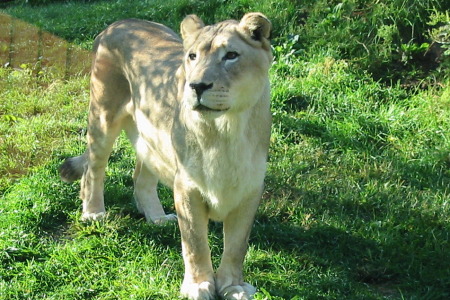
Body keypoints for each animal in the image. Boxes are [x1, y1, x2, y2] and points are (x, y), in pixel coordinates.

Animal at [59, 12, 270, 298]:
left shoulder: (249, 189)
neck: (226, 129)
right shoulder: (187, 185)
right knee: (93, 168)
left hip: (154, 137)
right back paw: (93, 212)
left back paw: (157, 219)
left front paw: (233, 286)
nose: (197, 86)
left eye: (231, 55)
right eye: (192, 56)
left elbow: (237, 246)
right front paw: (198, 285)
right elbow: (194, 243)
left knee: (141, 178)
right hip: (103, 115)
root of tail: (117, 23)